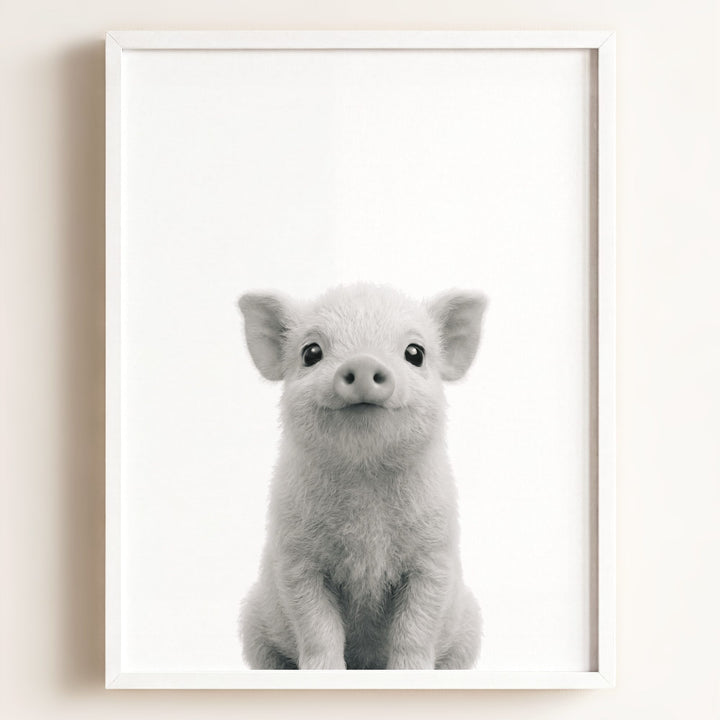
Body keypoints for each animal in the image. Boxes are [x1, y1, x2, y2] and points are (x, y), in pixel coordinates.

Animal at [238, 283, 486, 670]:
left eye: (415, 353)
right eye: (311, 352)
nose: (364, 361)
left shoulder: (434, 556)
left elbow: (416, 627)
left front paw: (411, 671)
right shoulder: (296, 559)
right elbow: (317, 626)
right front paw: (323, 671)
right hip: (253, 626)